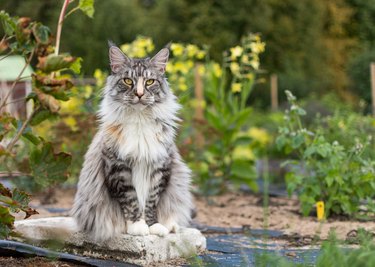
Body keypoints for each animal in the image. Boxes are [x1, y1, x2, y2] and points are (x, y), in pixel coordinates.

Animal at [71, 43, 194, 242]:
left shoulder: (159, 167)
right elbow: (131, 200)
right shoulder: (118, 168)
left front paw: (153, 226)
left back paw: (171, 226)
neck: (139, 120)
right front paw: (137, 226)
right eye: (128, 81)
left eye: (150, 82)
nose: (139, 94)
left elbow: (151, 202)